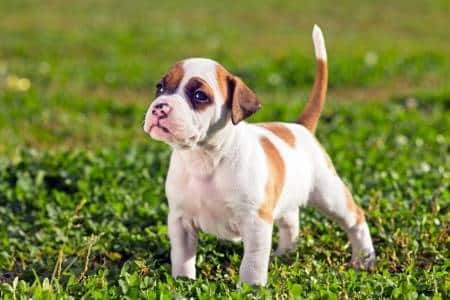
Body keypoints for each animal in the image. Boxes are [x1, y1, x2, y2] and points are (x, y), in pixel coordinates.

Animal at [144, 24, 376, 284]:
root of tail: (300, 127)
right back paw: (285, 254)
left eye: (199, 96)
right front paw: (183, 283)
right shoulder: (180, 222)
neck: (205, 159)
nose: (160, 108)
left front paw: (250, 287)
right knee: (291, 221)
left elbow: (252, 263)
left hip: (329, 194)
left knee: (356, 218)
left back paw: (364, 259)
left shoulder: (256, 222)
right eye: (160, 88)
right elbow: (183, 257)